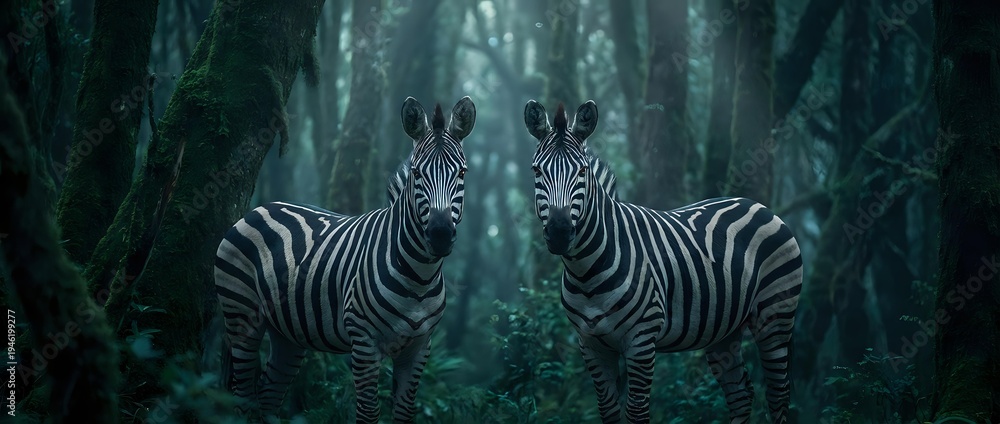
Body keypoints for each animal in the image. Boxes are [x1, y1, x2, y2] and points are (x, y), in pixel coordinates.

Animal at [215, 96, 476, 423]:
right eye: (417, 174)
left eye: (462, 173)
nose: (440, 235)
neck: (419, 276)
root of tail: (259, 208)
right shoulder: (363, 341)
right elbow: (368, 412)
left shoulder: (420, 346)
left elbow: (404, 412)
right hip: (241, 314)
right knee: (242, 398)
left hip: (287, 333)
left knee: (268, 397)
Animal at [523, 100, 803, 423]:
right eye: (536, 170)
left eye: (582, 171)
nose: (559, 232)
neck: (586, 272)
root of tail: (756, 204)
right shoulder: (591, 344)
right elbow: (608, 410)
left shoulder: (641, 340)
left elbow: (636, 411)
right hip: (725, 330)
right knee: (741, 394)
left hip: (775, 316)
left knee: (778, 395)